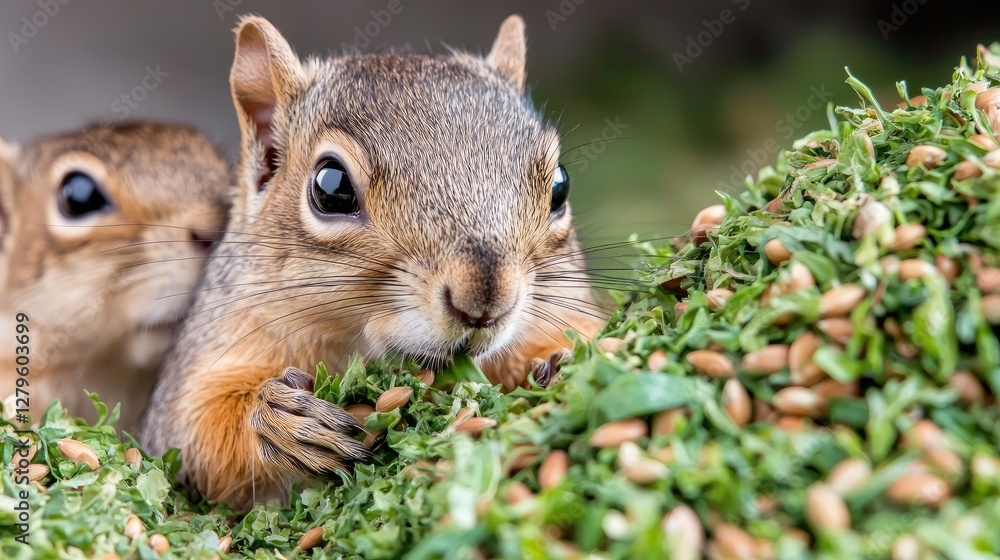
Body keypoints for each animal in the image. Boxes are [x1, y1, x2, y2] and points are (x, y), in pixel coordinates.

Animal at [140, 15, 604, 508]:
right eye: (332, 187)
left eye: (560, 186)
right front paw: (277, 419)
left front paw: (563, 359)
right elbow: (192, 434)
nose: (485, 301)